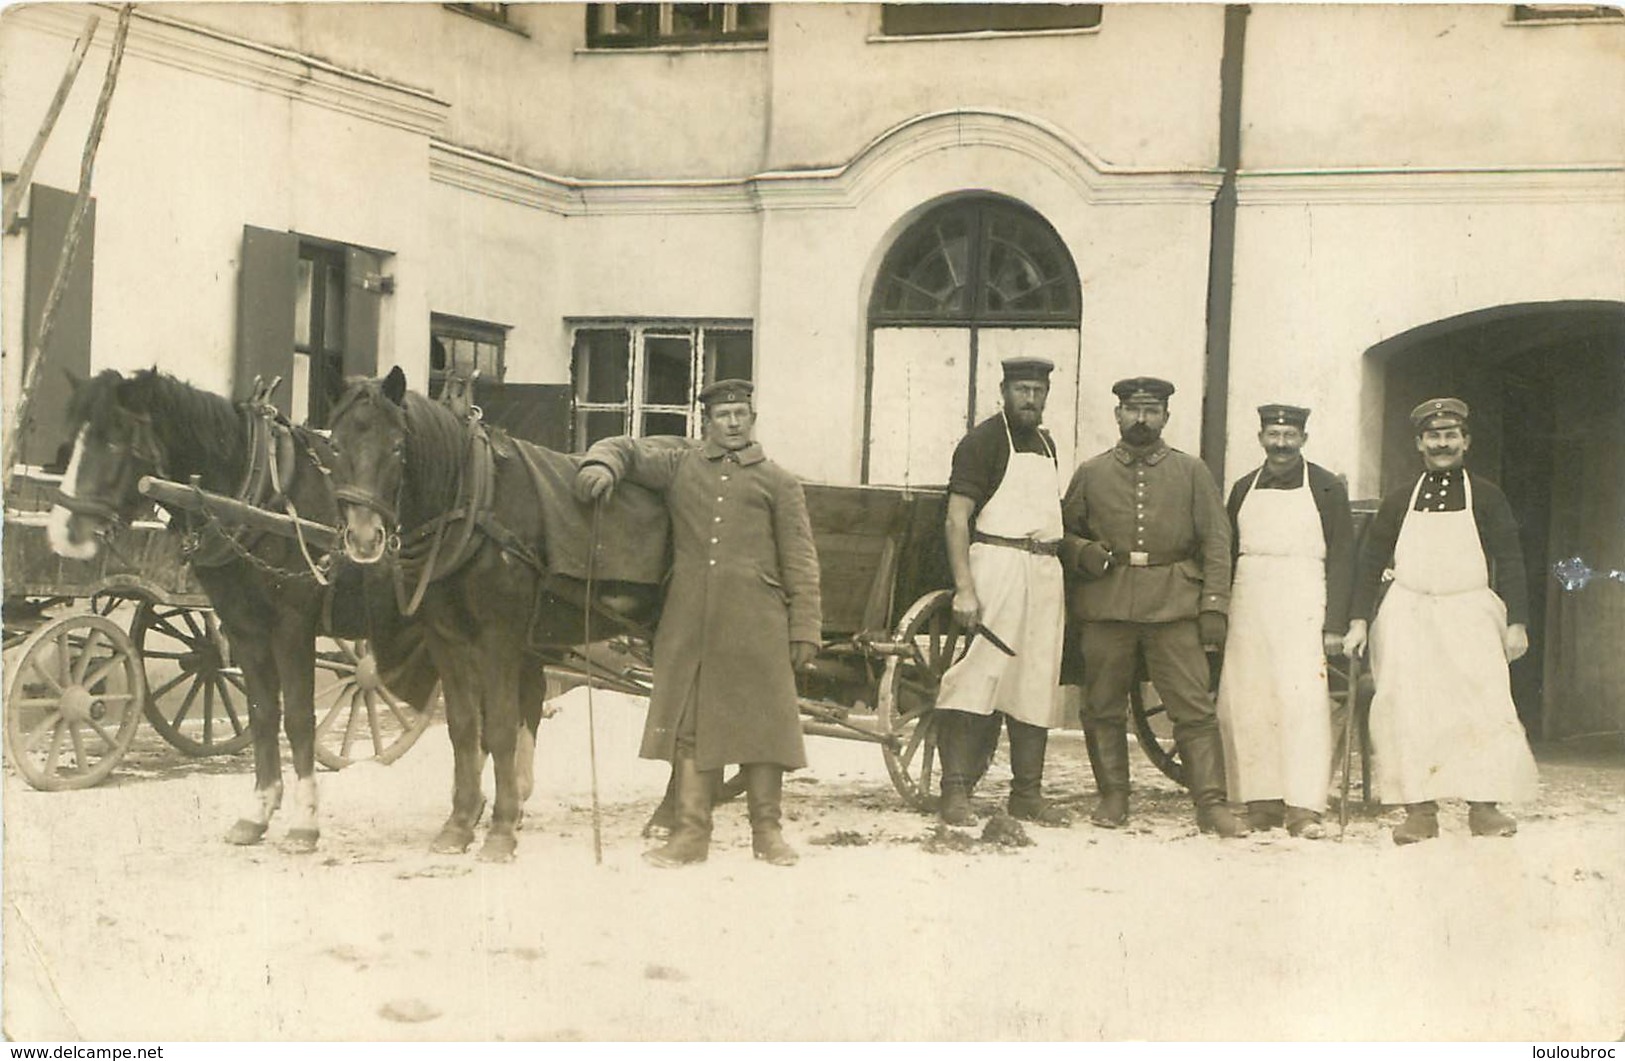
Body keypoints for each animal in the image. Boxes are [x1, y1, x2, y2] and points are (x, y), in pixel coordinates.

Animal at [49, 368, 419, 851]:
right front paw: (258, 812)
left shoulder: (292, 625)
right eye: (71, 440)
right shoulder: (244, 626)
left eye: (113, 441)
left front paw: (304, 821)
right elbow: (263, 713)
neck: (256, 496)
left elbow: (298, 717)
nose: (61, 532)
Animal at [325, 363, 666, 857]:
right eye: (334, 444)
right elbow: (465, 728)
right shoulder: (447, 638)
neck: (474, 503)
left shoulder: (500, 638)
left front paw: (502, 829)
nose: (365, 538)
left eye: (396, 446)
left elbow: (502, 727)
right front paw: (459, 824)